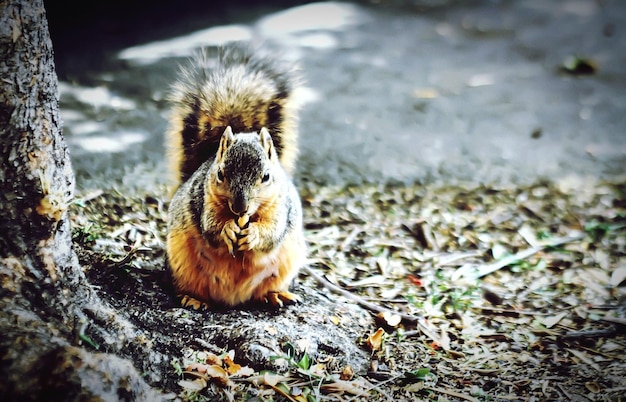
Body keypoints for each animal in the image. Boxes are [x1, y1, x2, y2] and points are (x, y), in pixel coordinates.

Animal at [163, 44, 304, 310]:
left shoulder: (281, 206)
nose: (240, 207)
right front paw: (227, 229)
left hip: (285, 265)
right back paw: (193, 298)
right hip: (180, 262)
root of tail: (232, 299)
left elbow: (272, 231)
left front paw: (252, 234)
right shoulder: (203, 199)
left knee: (264, 290)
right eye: (220, 173)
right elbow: (211, 226)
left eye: (266, 176)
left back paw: (276, 295)